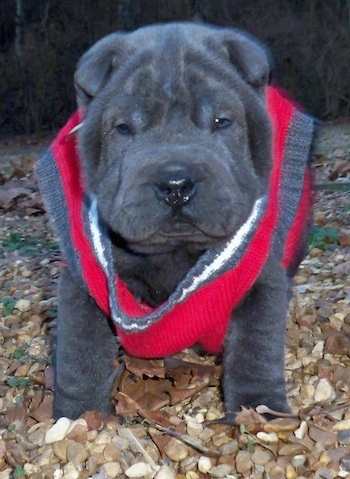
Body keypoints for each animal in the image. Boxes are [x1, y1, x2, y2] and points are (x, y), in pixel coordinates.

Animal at [36, 22, 314, 420]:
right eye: (124, 129)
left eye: (221, 122)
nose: (176, 183)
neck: (175, 253)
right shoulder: (83, 278)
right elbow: (81, 351)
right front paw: (77, 416)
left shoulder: (261, 277)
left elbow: (256, 347)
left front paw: (261, 410)